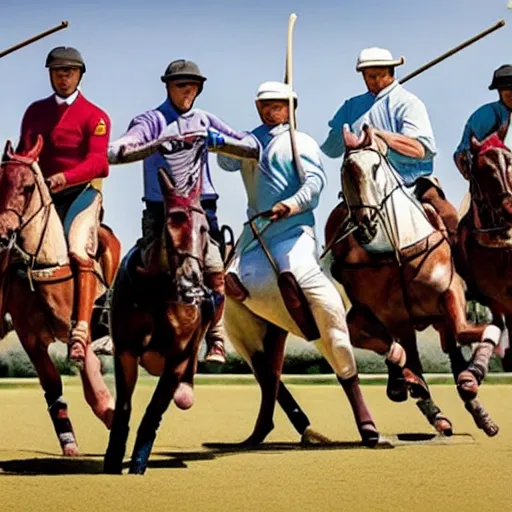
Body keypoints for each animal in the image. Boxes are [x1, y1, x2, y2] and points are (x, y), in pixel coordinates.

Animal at [0, 134, 121, 454]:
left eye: (28, 187)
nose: (2, 233)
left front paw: (112, 416)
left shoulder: (81, 334)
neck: (44, 266)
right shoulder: (30, 338)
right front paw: (69, 442)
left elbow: (93, 386)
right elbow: (53, 385)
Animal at [324, 124, 500, 436]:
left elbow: (475, 331)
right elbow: (397, 351)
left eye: (376, 167)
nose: (366, 225)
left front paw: (471, 380)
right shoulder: (390, 316)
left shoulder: (450, 294)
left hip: (438, 316)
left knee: (453, 349)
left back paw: (476, 410)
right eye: (345, 170)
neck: (398, 249)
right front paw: (409, 383)